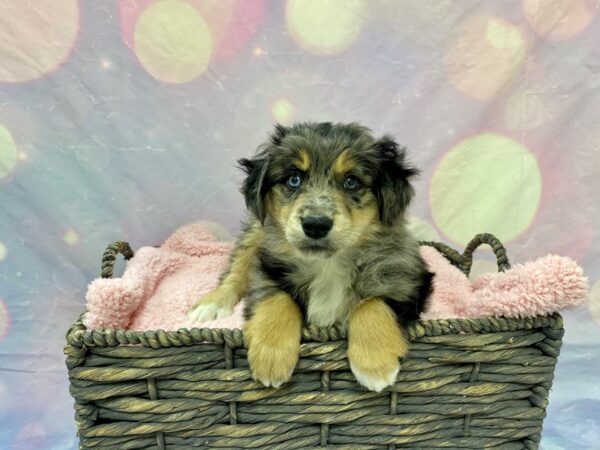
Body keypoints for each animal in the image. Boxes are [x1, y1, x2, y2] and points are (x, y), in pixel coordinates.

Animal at [188, 122, 432, 390]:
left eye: (351, 181)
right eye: (294, 179)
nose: (315, 225)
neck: (327, 264)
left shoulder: (409, 282)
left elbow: (373, 303)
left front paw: (375, 365)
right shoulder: (265, 268)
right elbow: (278, 298)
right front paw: (270, 359)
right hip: (255, 232)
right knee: (235, 269)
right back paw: (210, 305)